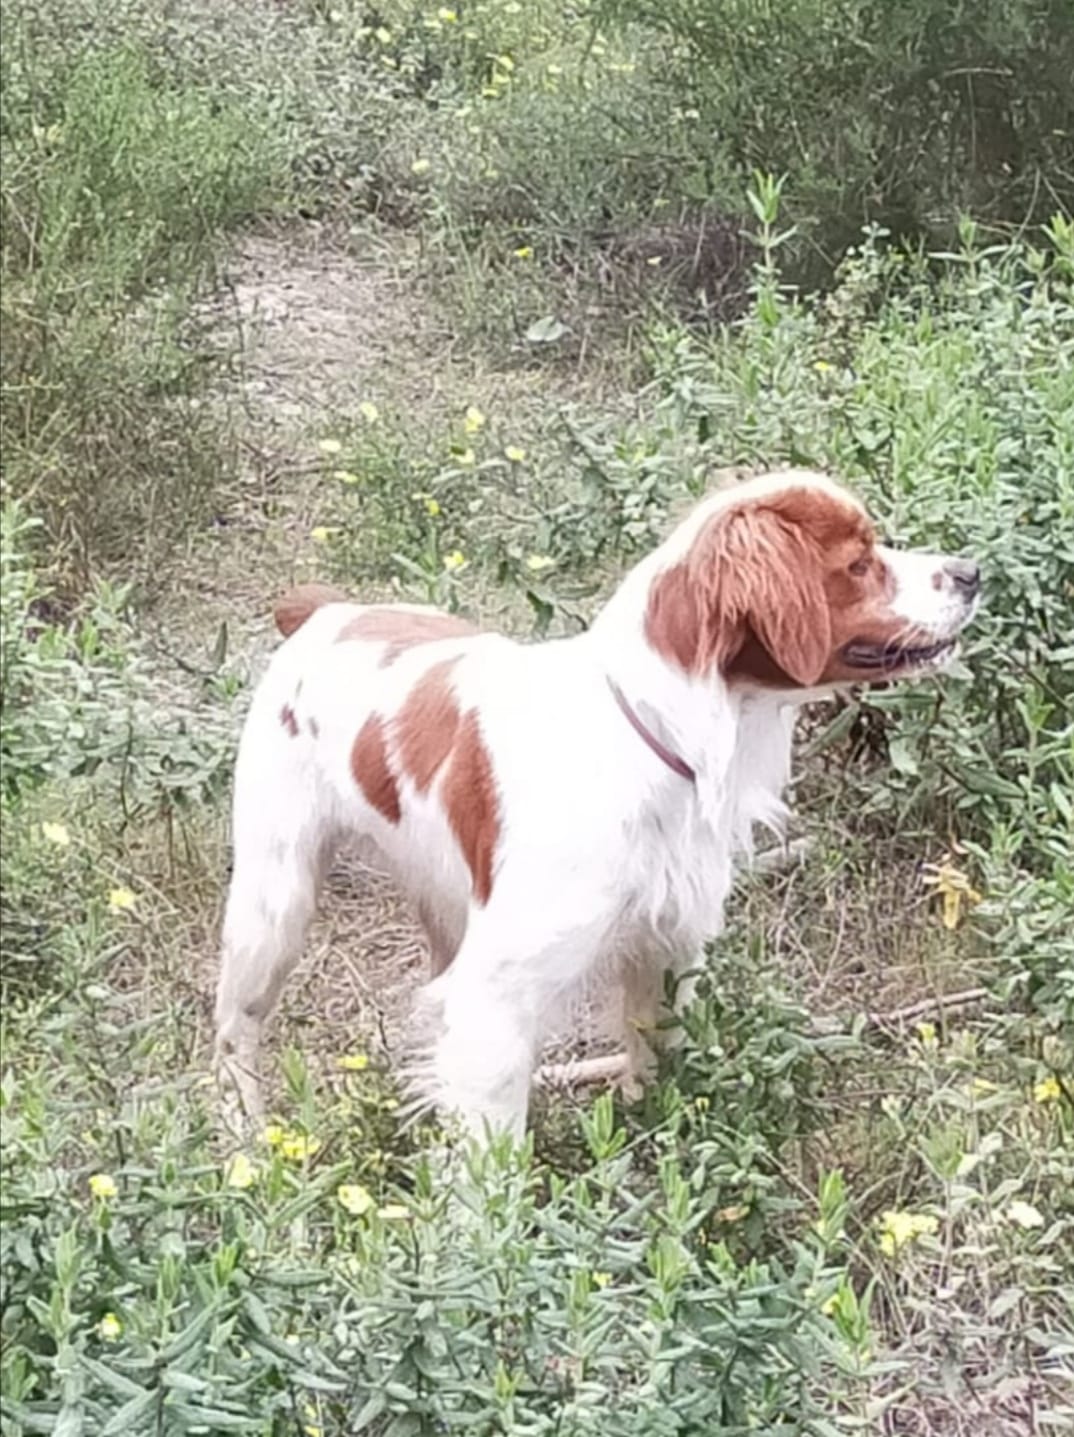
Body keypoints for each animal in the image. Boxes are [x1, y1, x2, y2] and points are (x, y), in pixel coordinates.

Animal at [214, 468, 977, 1132]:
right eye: (859, 562)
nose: (973, 572)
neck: (657, 738)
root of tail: (322, 610)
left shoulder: (665, 949)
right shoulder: (496, 999)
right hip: (273, 902)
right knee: (232, 1030)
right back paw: (248, 1143)